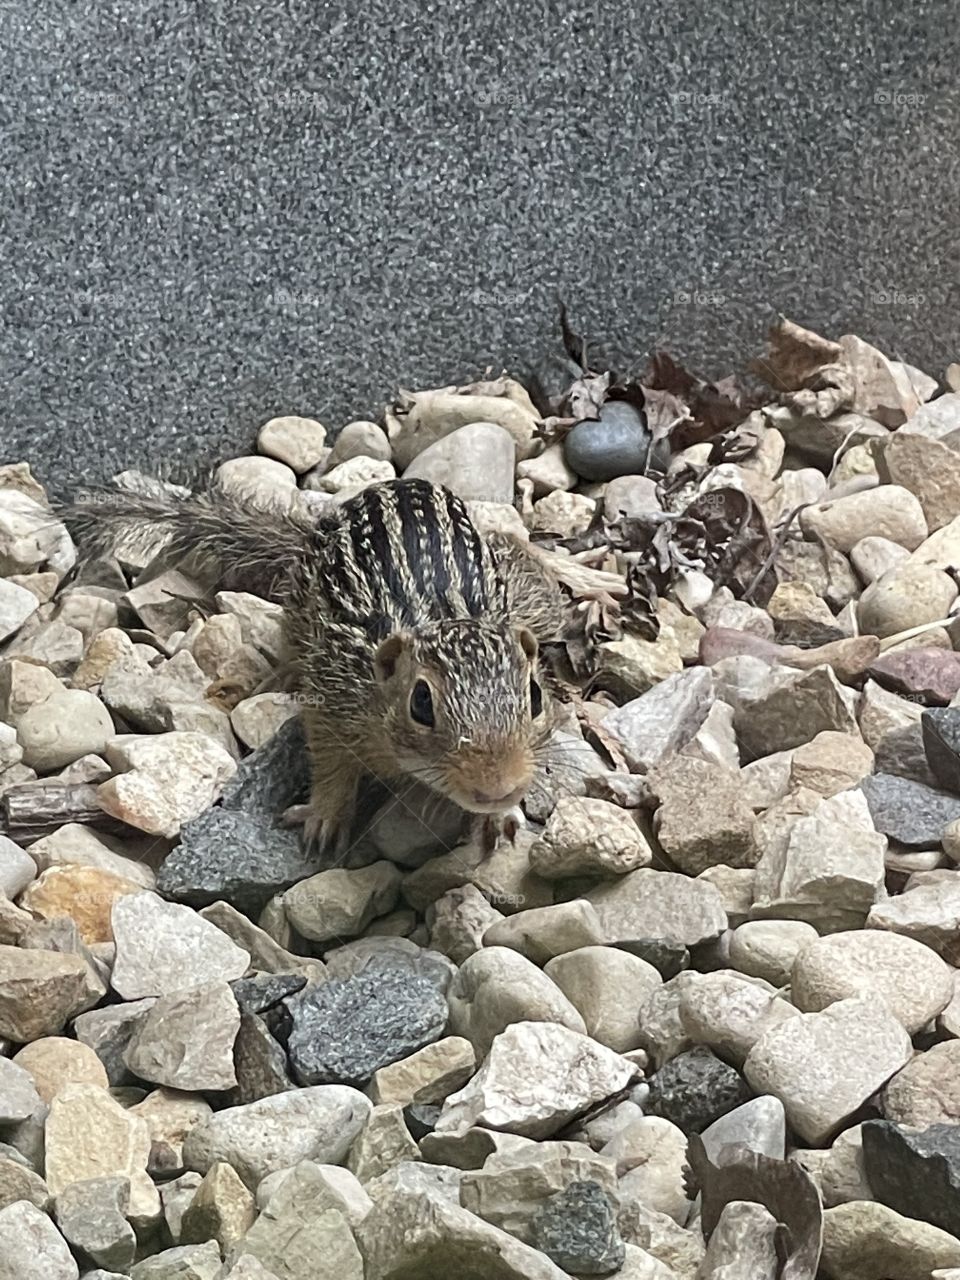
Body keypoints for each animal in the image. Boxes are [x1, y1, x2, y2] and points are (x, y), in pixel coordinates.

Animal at [64, 477, 568, 855]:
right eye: (421, 704)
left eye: (535, 696)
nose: (497, 787)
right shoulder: (332, 701)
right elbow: (329, 764)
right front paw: (325, 817)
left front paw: (502, 815)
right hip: (301, 600)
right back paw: (285, 670)